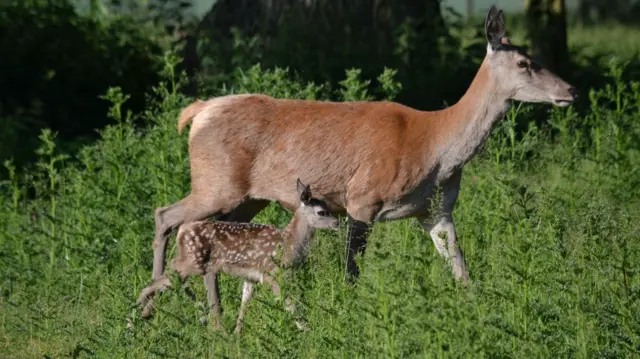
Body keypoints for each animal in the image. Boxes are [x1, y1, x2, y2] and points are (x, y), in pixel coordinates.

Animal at [138, 4, 576, 310]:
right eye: (525, 62)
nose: (570, 90)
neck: (437, 147)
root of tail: (197, 113)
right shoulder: (363, 198)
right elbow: (352, 274)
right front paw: (348, 316)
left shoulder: (438, 210)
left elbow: (461, 270)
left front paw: (479, 313)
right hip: (217, 183)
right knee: (165, 215)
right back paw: (159, 303)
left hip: (247, 198)